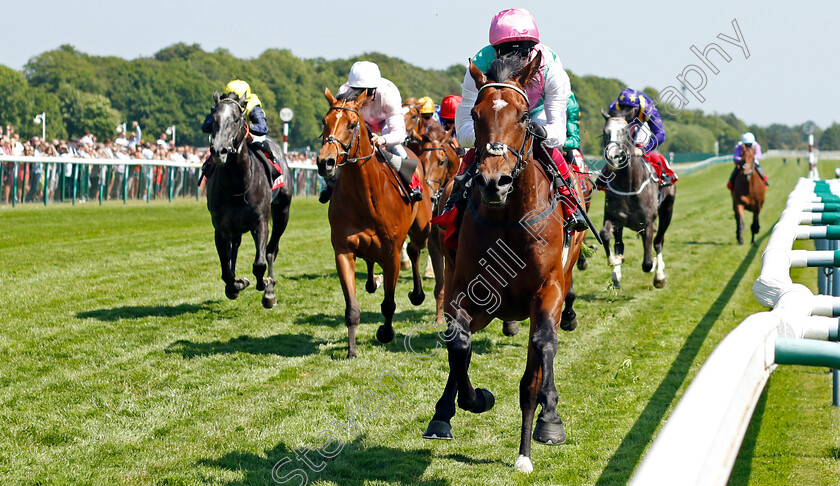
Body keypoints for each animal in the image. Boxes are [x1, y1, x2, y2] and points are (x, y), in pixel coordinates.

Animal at [206, 91, 292, 308]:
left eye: (237, 119)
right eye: (213, 119)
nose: (219, 151)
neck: (236, 185)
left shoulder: (260, 220)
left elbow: (259, 264)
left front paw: (265, 285)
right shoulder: (221, 228)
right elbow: (226, 271)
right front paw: (236, 285)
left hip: (283, 212)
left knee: (271, 250)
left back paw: (270, 289)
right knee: (235, 249)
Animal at [316, 87, 434, 358]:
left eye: (351, 125)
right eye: (325, 122)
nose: (325, 162)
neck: (365, 195)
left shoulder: (392, 253)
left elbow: (389, 304)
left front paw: (385, 333)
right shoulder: (343, 250)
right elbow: (352, 308)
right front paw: (351, 351)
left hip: (422, 228)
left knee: (415, 249)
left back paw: (417, 294)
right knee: (372, 261)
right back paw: (372, 282)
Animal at [420, 51, 592, 472]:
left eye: (524, 116)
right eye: (476, 113)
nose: (493, 182)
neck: (509, 220)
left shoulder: (547, 291)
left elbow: (539, 357)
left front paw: (532, 441)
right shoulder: (470, 292)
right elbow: (459, 342)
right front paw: (475, 399)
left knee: (546, 345)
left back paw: (548, 414)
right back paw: (442, 415)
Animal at [596, 110, 676, 288]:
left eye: (625, 131)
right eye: (605, 132)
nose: (612, 157)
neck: (628, 185)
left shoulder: (647, 223)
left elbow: (647, 263)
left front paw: (654, 266)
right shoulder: (613, 217)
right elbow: (605, 235)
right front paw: (614, 262)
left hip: (667, 211)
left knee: (659, 241)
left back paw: (659, 274)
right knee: (619, 244)